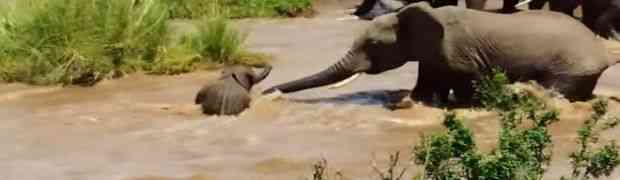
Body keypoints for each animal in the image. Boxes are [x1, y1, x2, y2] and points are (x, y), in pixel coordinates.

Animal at [262, 2, 620, 104]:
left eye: (373, 46)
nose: (267, 93)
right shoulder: (432, 53)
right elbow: (428, 81)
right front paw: (415, 102)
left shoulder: (460, 52)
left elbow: (465, 84)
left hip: (571, 65)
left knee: (556, 88)